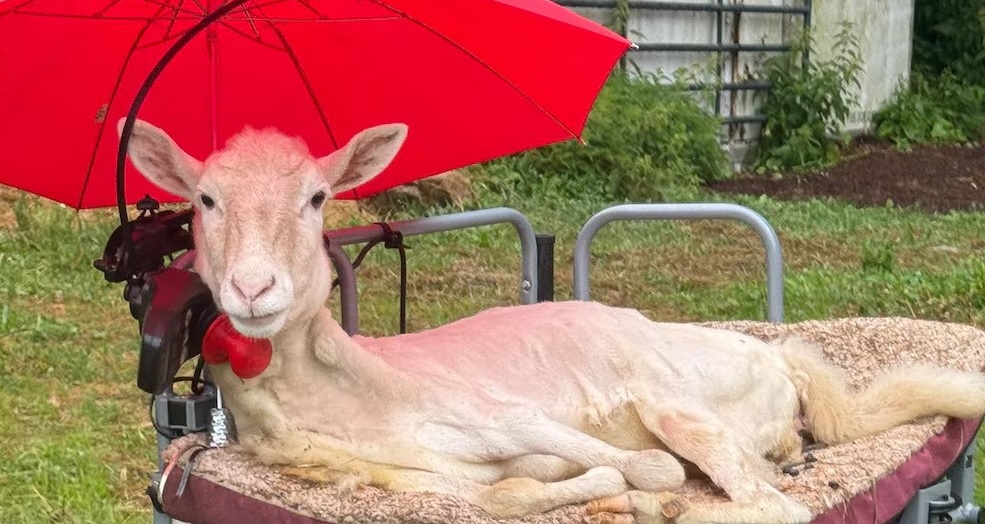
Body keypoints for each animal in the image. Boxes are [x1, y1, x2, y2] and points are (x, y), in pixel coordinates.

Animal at [120, 118, 985, 524]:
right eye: (205, 199)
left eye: (317, 197)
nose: (252, 288)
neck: (355, 397)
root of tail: (781, 357)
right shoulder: (430, 482)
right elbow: (502, 495)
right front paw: (589, 494)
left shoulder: (515, 418)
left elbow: (644, 469)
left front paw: (636, 491)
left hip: (682, 404)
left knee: (768, 500)